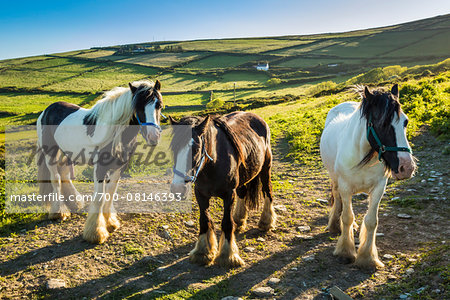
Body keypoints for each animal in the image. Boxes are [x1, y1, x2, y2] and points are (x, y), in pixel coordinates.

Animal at [37, 79, 163, 244]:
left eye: (159, 105)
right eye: (138, 106)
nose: (153, 137)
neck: (115, 133)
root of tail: (46, 110)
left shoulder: (119, 168)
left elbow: (110, 193)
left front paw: (111, 222)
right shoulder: (100, 169)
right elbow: (100, 197)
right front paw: (96, 232)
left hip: (67, 153)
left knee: (64, 175)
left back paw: (74, 202)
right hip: (50, 154)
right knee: (56, 179)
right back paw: (59, 212)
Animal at [169, 112, 274, 268]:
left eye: (196, 149)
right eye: (174, 148)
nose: (177, 188)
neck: (213, 165)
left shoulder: (228, 194)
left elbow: (226, 223)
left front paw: (228, 255)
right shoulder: (200, 194)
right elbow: (204, 220)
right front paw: (203, 252)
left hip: (266, 168)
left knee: (268, 191)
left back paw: (266, 221)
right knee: (242, 193)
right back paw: (239, 219)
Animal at [320, 84, 414, 270]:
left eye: (405, 122)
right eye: (383, 123)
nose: (407, 168)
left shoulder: (379, 188)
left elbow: (371, 221)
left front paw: (367, 258)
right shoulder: (345, 187)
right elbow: (347, 217)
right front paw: (345, 252)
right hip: (335, 179)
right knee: (337, 198)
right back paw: (335, 225)